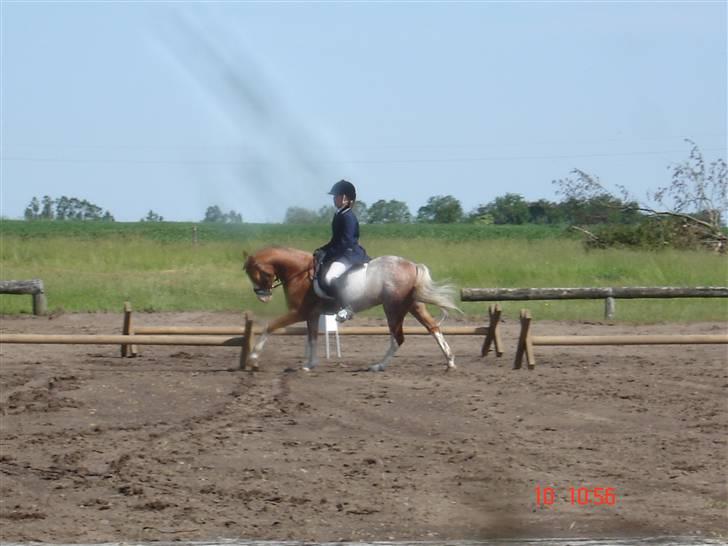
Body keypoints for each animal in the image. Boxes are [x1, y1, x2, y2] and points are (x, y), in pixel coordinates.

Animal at [245, 245, 460, 370]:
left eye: (257, 273)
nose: (263, 297)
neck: (300, 273)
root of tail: (413, 265)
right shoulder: (311, 315)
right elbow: (312, 338)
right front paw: (310, 365)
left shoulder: (298, 312)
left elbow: (270, 326)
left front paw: (253, 358)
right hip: (414, 306)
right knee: (433, 328)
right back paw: (450, 361)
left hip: (392, 308)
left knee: (398, 337)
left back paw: (378, 366)